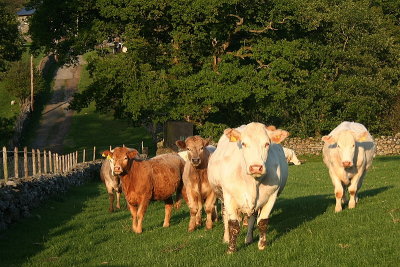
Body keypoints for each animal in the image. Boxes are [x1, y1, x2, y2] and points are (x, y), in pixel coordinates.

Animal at [208, 123, 290, 253]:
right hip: (222, 197)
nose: (256, 167)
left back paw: (249, 238)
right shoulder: (229, 196)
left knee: (252, 217)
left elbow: (262, 221)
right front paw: (231, 249)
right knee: (225, 216)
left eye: (267, 144)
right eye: (243, 144)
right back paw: (226, 238)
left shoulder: (272, 195)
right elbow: (233, 224)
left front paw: (262, 245)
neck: (252, 182)